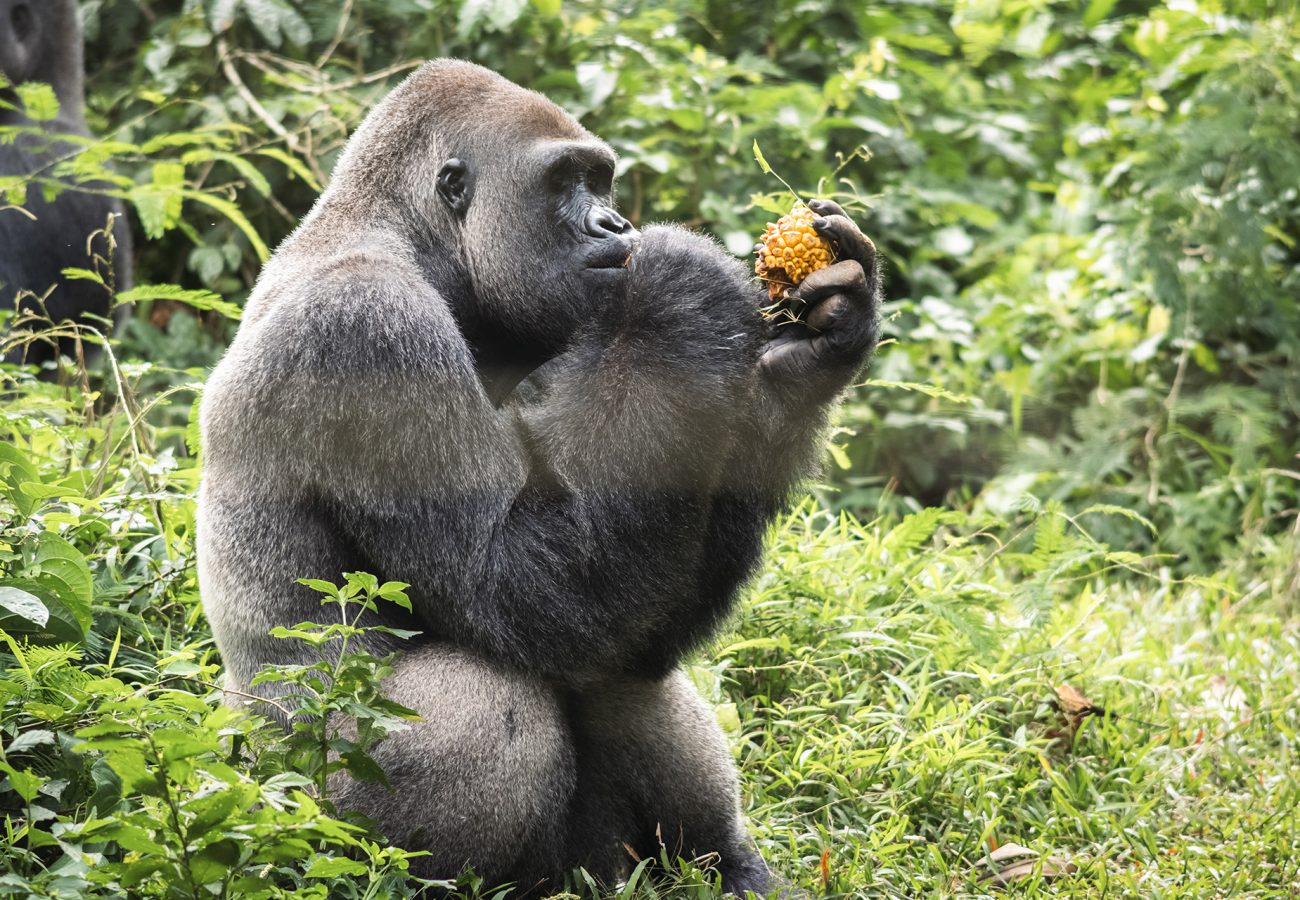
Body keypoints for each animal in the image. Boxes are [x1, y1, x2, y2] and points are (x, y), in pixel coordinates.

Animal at [195, 59, 883, 894]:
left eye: (601, 180)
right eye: (564, 182)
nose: (614, 227)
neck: (416, 242)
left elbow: (625, 591)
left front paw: (812, 355)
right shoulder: (368, 329)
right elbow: (514, 586)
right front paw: (679, 285)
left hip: (591, 865)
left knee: (621, 658)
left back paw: (728, 863)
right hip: (293, 820)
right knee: (485, 699)